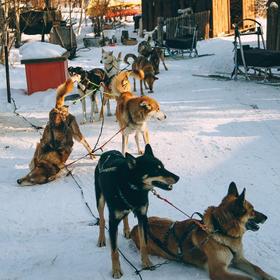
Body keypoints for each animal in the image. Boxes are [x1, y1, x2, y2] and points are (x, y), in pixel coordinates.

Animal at [94, 145, 179, 278]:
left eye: (163, 166)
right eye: (156, 170)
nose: (177, 178)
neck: (133, 188)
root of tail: (109, 152)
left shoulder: (142, 217)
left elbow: (144, 244)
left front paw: (146, 262)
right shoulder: (113, 223)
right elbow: (114, 251)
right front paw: (116, 270)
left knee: (125, 217)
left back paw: (126, 230)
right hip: (100, 200)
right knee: (102, 220)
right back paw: (101, 239)